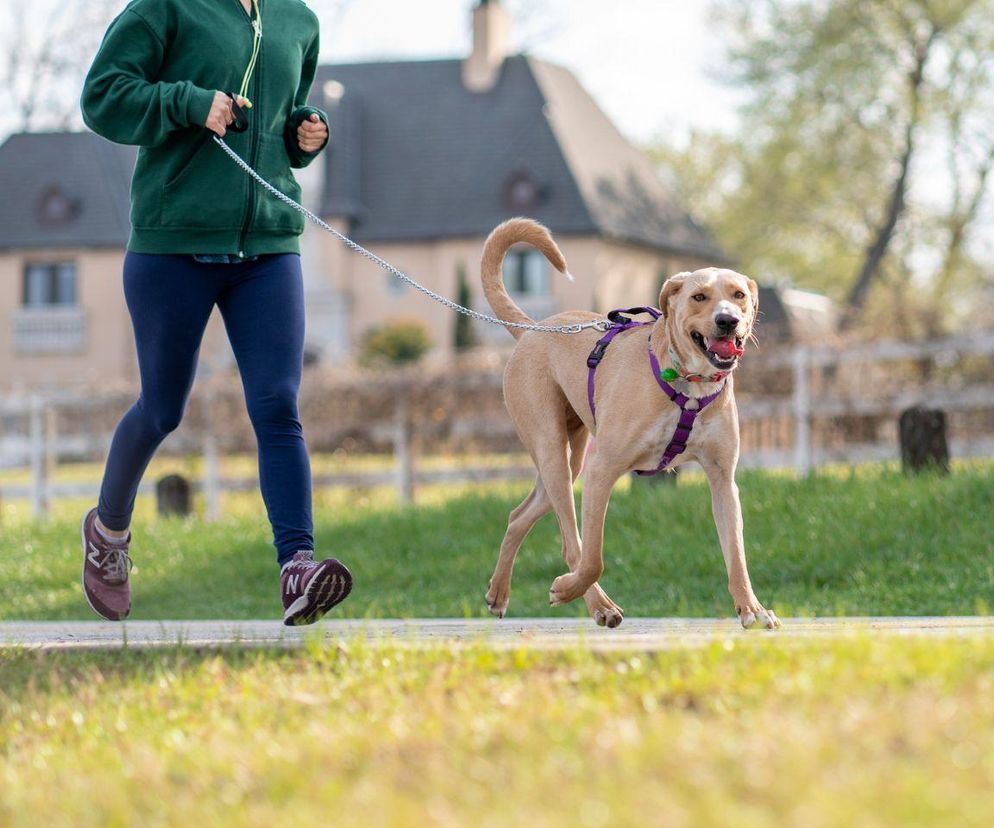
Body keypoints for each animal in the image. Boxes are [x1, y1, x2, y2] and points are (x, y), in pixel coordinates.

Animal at [476, 217, 780, 632]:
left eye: (739, 295)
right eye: (699, 297)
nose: (728, 320)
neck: (687, 384)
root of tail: (535, 328)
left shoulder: (722, 479)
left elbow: (736, 553)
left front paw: (752, 609)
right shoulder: (602, 469)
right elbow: (594, 557)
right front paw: (567, 589)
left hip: (570, 460)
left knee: (519, 516)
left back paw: (498, 593)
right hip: (553, 449)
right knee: (572, 544)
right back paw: (594, 602)